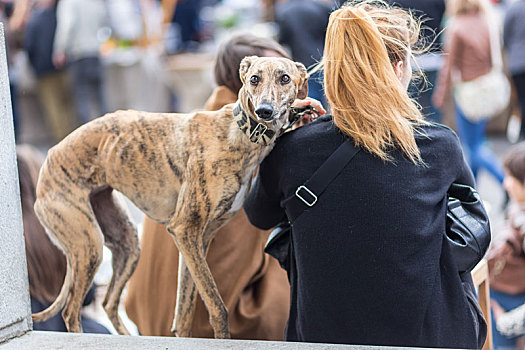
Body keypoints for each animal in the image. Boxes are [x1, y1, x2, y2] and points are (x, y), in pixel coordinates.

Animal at [31, 56, 308, 338]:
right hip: (89, 245)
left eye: (285, 78)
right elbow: (218, 308)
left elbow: (184, 313)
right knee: (70, 311)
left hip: (126, 242)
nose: (264, 111)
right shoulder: (185, 229)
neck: (238, 132)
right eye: (254, 78)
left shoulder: (198, 239)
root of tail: (49, 157)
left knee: (109, 302)